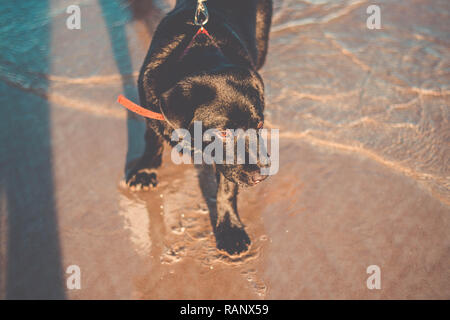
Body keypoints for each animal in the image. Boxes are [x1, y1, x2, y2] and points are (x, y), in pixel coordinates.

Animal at [126, 0, 274, 255]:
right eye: (223, 132)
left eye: (259, 125)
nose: (260, 177)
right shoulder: (149, 105)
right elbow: (152, 138)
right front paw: (145, 171)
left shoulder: (226, 162)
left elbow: (226, 190)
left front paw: (230, 231)